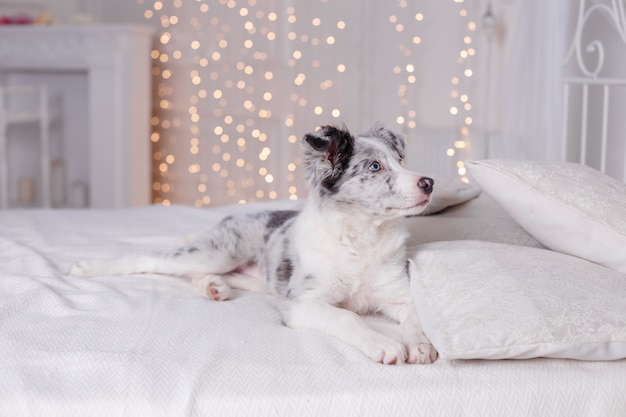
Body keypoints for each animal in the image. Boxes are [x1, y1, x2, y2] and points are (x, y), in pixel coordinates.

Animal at [72, 122, 434, 362]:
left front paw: (422, 345)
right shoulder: (302, 302)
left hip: (245, 273)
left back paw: (214, 287)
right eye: (375, 167)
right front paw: (383, 344)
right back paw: (87, 266)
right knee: (152, 259)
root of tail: (228, 218)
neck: (362, 236)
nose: (429, 182)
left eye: (400, 161)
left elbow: (418, 316)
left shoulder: (397, 293)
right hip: (216, 252)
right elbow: (348, 317)